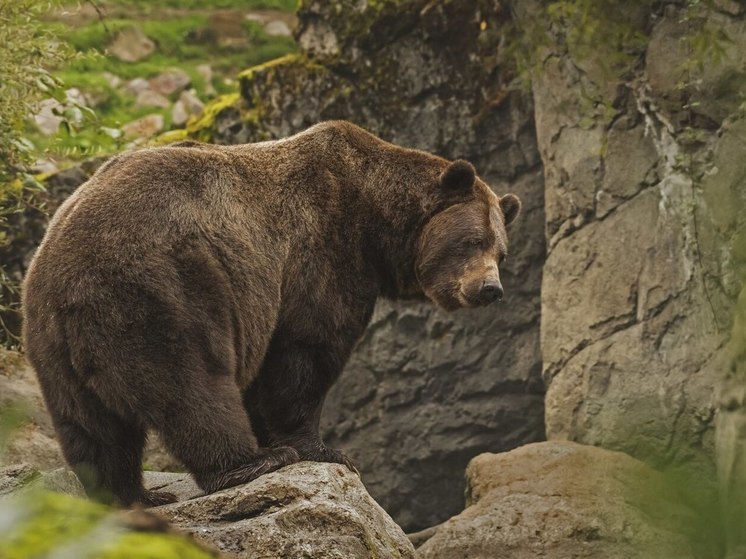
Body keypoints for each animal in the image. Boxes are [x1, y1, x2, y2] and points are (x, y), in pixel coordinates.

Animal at [24, 121, 524, 508]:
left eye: (501, 251)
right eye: (473, 241)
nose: (490, 289)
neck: (375, 220)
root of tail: (67, 281)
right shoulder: (320, 249)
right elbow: (305, 352)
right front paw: (321, 449)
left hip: (51, 339)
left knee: (92, 426)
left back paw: (133, 495)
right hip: (161, 288)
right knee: (191, 383)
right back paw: (249, 464)